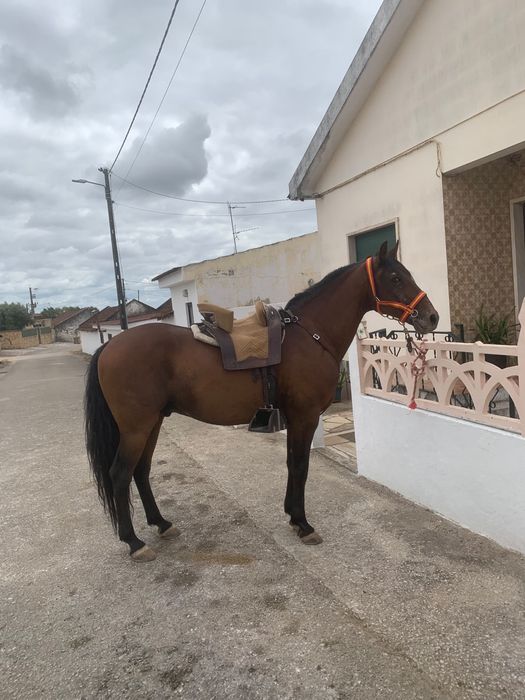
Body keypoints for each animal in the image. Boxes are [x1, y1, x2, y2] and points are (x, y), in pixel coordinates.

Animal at [84, 242, 438, 561]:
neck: (310, 335)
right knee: (120, 474)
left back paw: (161, 523)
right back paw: (134, 542)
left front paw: (292, 516)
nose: (432, 317)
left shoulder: (294, 418)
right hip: (136, 428)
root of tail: (109, 346)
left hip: (153, 422)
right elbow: (301, 466)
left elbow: (292, 464)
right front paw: (304, 524)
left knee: (141, 471)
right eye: (395, 278)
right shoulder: (305, 416)